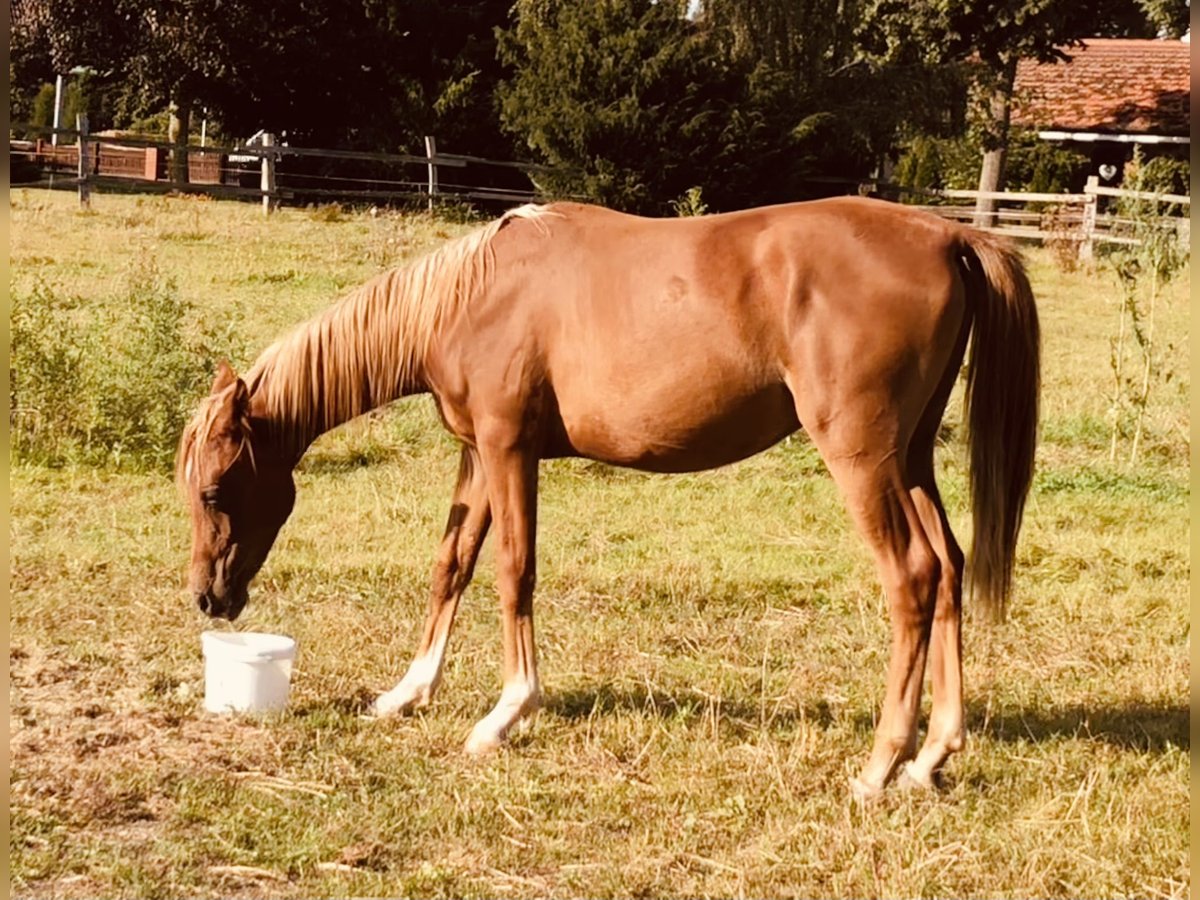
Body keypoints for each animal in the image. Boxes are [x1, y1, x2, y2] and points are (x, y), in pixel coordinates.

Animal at [177, 199, 1041, 796]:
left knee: (912, 578)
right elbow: (452, 564)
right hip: (912, 460)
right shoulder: (476, 453)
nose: (209, 600)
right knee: (950, 568)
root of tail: (946, 236)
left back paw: (880, 764)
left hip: (862, 459)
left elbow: (513, 572)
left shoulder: (508, 448)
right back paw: (932, 757)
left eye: (217, 488)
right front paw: (406, 693)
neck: (471, 297)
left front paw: (505, 713)